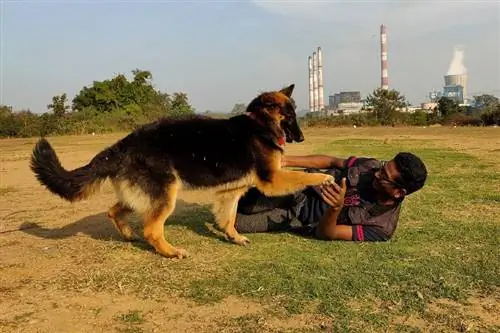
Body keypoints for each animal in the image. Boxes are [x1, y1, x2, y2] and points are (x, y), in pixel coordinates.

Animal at [31, 84, 336, 258]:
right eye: (291, 117)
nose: (302, 138)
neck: (259, 124)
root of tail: (123, 145)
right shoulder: (272, 180)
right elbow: (302, 175)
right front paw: (324, 176)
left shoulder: (230, 192)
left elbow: (228, 218)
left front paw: (234, 237)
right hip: (166, 196)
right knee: (152, 229)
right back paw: (170, 252)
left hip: (141, 196)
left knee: (114, 211)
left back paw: (128, 235)